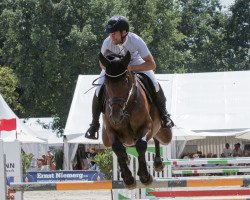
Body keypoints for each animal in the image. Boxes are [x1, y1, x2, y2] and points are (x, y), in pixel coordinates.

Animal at [99, 50, 172, 188]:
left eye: (125, 80)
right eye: (106, 82)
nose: (116, 116)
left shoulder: (146, 126)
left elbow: (141, 144)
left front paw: (145, 176)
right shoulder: (110, 130)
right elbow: (117, 147)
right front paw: (128, 178)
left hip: (165, 134)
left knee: (157, 139)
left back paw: (158, 163)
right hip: (106, 139)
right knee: (120, 149)